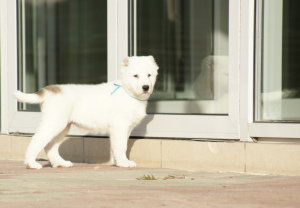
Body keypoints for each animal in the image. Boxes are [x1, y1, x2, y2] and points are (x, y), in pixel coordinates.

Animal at [13, 55, 159, 169]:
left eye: (149, 75)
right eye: (136, 76)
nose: (146, 87)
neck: (128, 91)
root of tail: (50, 90)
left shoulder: (125, 129)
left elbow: (117, 146)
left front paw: (116, 162)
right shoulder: (120, 126)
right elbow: (121, 146)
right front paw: (124, 163)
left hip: (63, 127)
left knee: (50, 146)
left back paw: (60, 163)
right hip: (54, 122)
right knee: (37, 140)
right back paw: (31, 163)